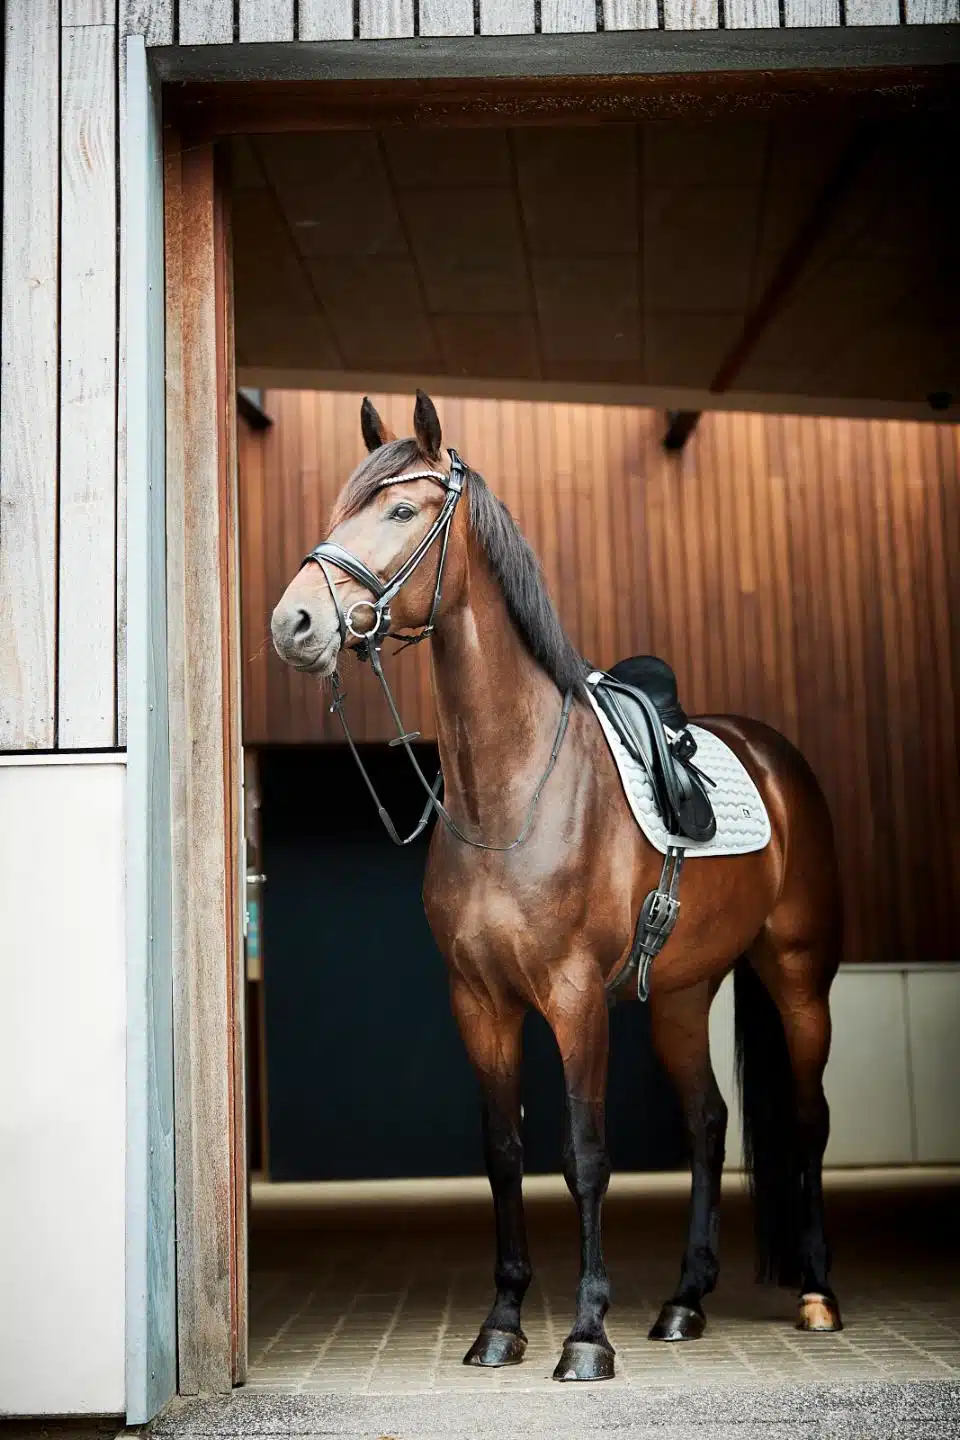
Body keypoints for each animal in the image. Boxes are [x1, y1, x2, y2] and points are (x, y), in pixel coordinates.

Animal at [270, 390, 843, 1383]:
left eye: (402, 510)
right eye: (340, 508)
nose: (293, 623)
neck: (508, 796)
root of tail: (779, 760)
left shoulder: (573, 999)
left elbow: (584, 1155)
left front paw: (586, 1334)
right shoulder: (480, 1001)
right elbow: (503, 1154)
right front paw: (502, 1323)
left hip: (799, 977)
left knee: (808, 1119)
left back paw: (814, 1295)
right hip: (681, 994)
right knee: (708, 1122)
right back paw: (685, 1303)